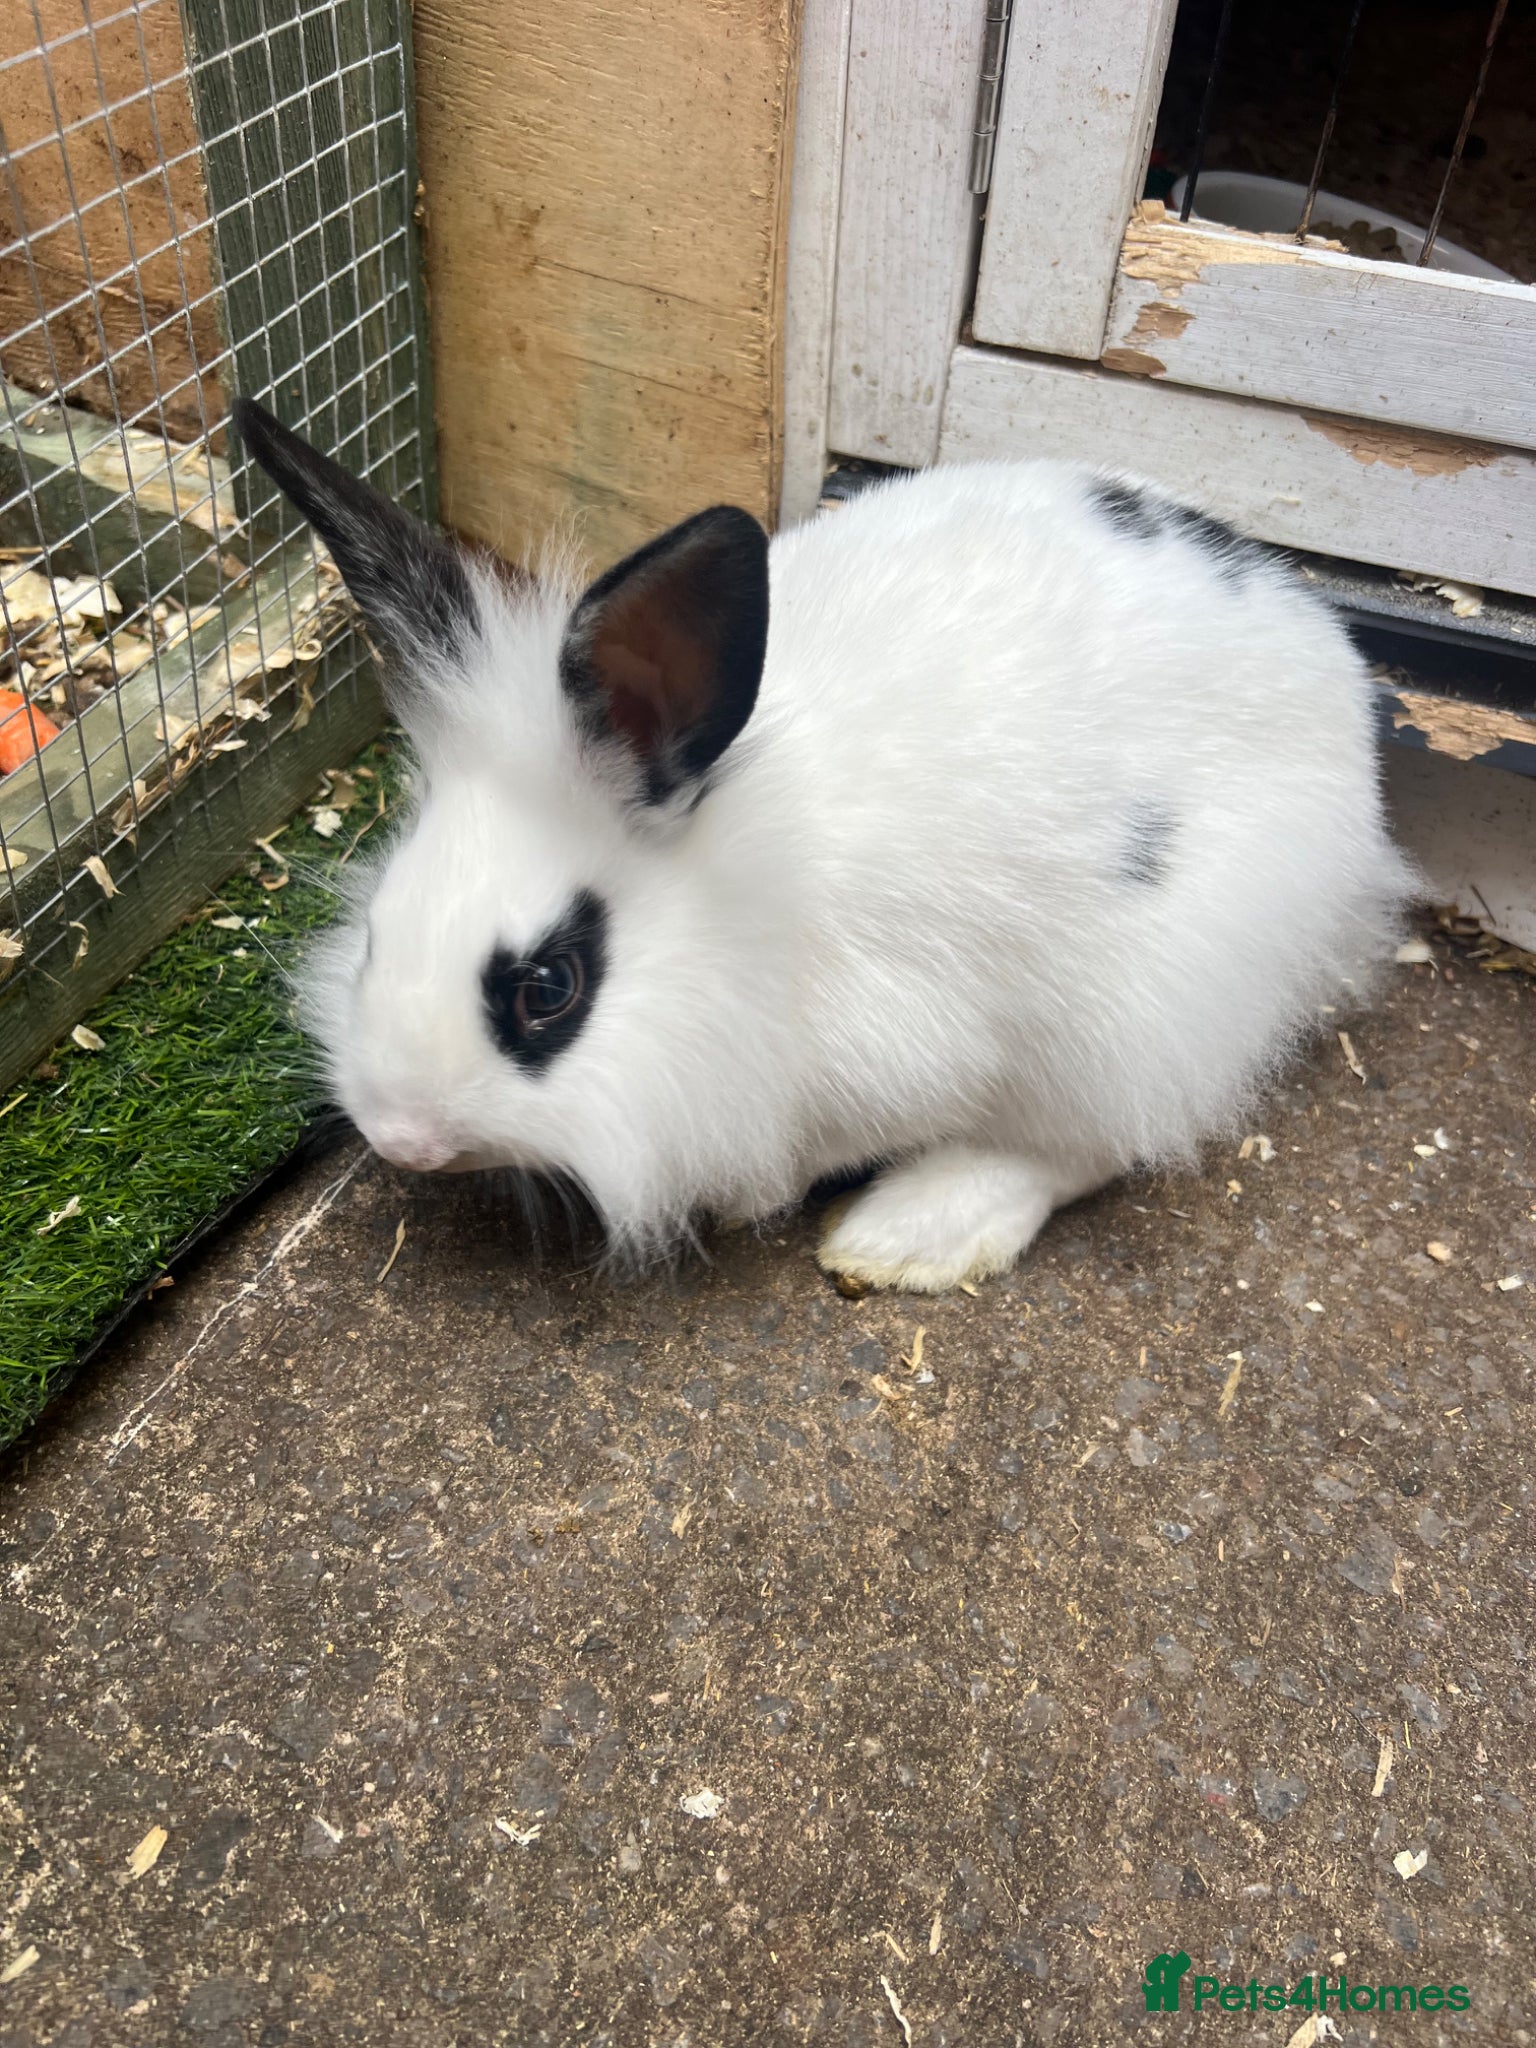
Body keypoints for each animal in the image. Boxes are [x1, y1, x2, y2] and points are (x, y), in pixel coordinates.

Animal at [234, 398, 1418, 1292]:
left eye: (548, 989)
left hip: (1142, 1009)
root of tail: (1340, 686)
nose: (402, 1137)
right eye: (378, 932)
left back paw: (910, 1235)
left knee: (1090, 1142)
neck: (743, 914)